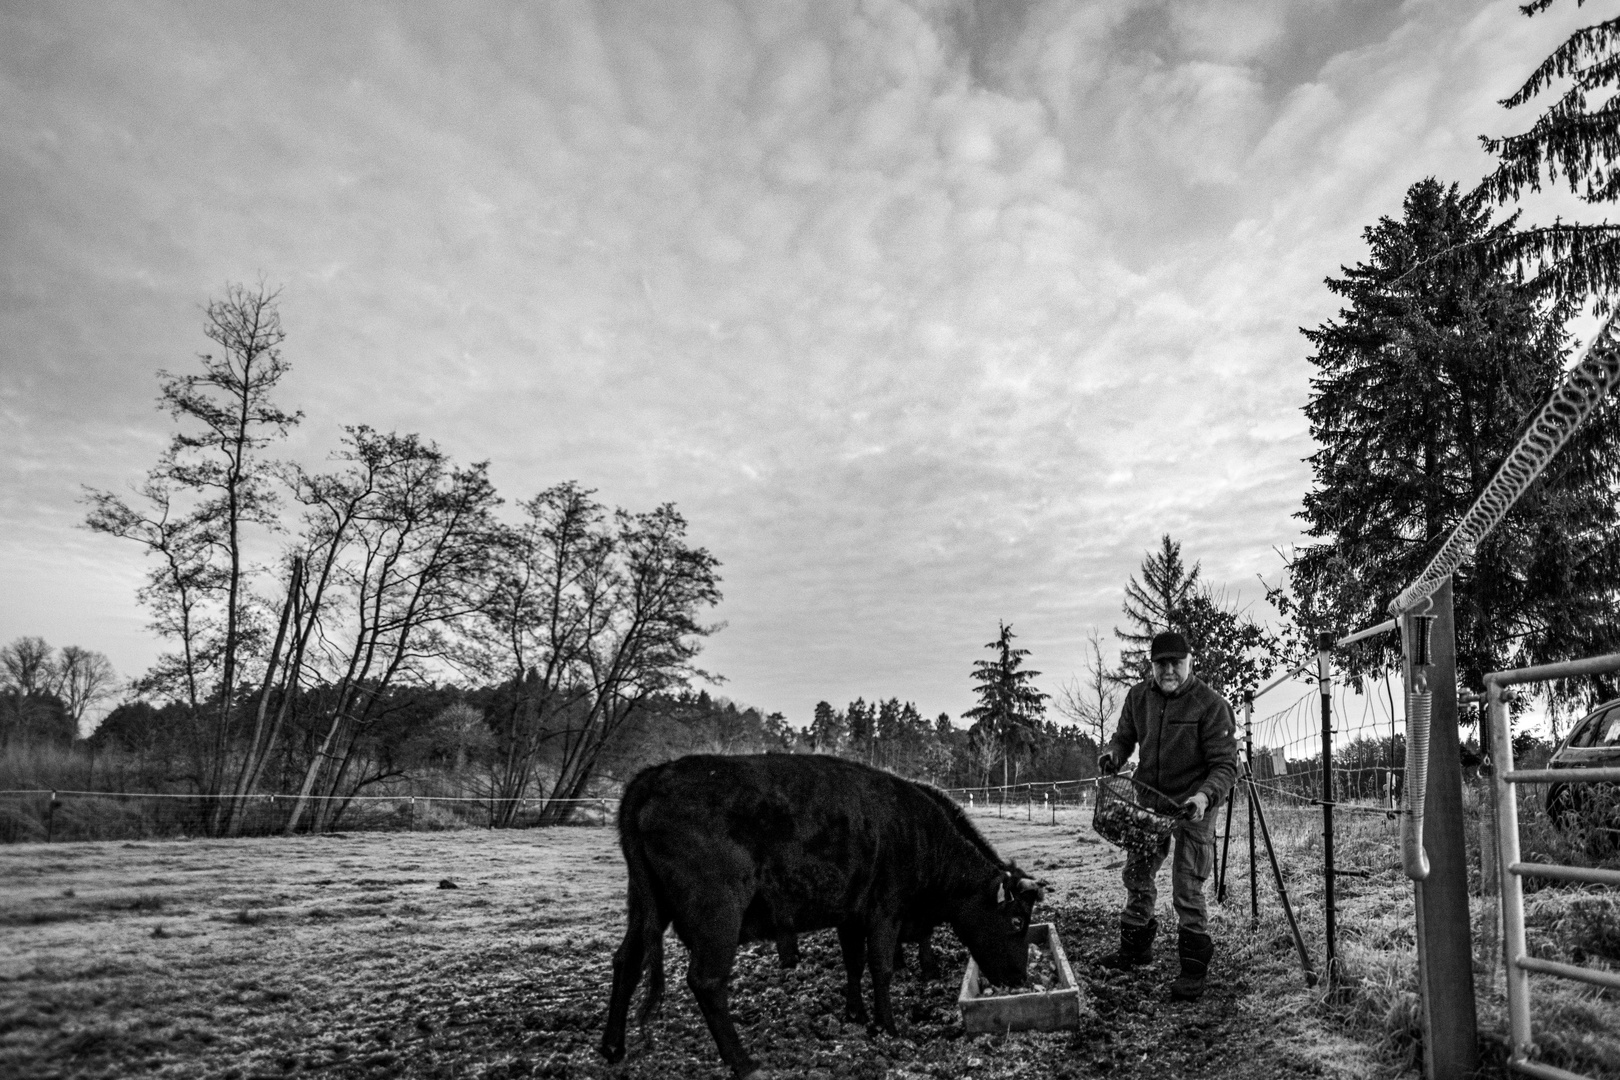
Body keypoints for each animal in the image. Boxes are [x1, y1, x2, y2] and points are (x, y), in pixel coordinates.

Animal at [602, 757, 1043, 1075]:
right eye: (1016, 922)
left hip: (645, 907)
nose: (1019, 978)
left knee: (626, 961)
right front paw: (888, 1026)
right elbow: (880, 966)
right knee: (706, 980)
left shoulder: (850, 915)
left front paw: (855, 1014)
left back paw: (612, 1047)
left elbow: (854, 963)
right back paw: (743, 1062)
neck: (917, 833)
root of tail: (653, 776)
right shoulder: (885, 911)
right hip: (717, 915)